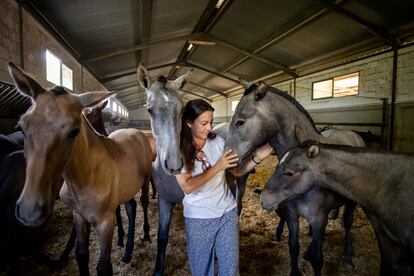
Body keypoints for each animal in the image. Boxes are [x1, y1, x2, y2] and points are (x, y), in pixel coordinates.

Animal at [8, 62, 153, 276]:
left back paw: (146, 235)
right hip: (126, 189)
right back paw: (127, 252)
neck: (86, 178)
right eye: (22, 126)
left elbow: (104, 265)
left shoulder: (105, 221)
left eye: (74, 131)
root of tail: (137, 132)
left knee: (143, 202)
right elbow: (81, 255)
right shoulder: (78, 216)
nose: (30, 211)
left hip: (145, 181)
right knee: (131, 207)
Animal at [225, 82, 364, 276]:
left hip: (351, 204)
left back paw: (348, 257)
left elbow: (318, 259)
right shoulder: (292, 216)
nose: (227, 158)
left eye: (240, 122)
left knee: (348, 224)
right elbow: (293, 247)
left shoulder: (319, 219)